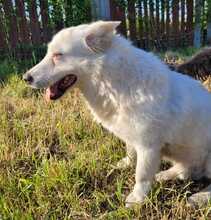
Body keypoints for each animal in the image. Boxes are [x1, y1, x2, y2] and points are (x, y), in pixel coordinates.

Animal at [23, 20, 211, 206]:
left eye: (58, 55)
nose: (26, 78)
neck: (113, 83)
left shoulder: (148, 147)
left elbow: (141, 176)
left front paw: (137, 199)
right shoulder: (133, 139)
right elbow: (131, 155)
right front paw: (126, 164)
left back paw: (199, 197)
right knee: (184, 170)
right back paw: (165, 175)